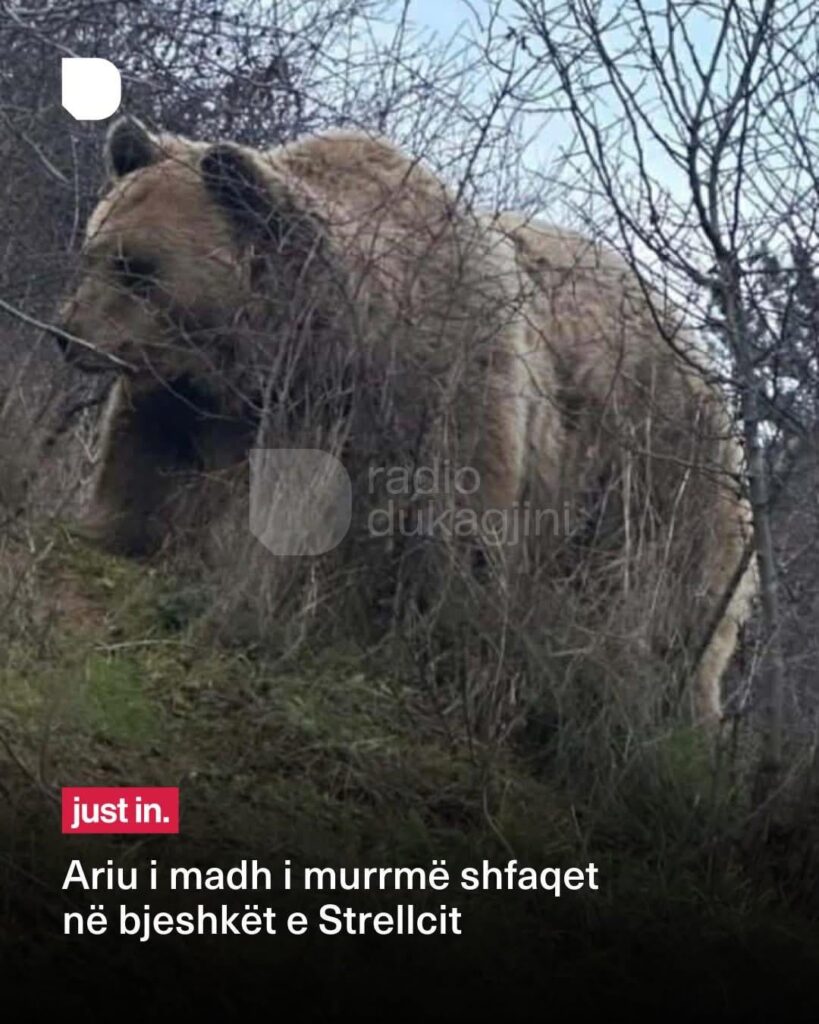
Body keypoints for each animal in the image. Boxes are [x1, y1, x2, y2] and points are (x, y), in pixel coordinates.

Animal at [55, 116, 756, 723]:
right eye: (94, 248)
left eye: (139, 268)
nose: (68, 334)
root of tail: (709, 374)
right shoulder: (198, 394)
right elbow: (146, 463)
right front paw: (114, 531)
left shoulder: (431, 403)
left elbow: (445, 541)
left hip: (652, 484)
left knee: (662, 613)